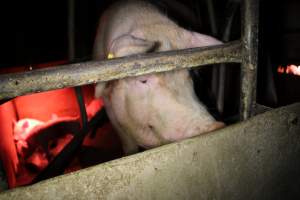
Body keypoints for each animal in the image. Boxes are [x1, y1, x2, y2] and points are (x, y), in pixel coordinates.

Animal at [94, 0, 225, 155]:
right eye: (143, 79)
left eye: (190, 73)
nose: (214, 126)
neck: (148, 22)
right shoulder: (108, 102)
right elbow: (128, 143)